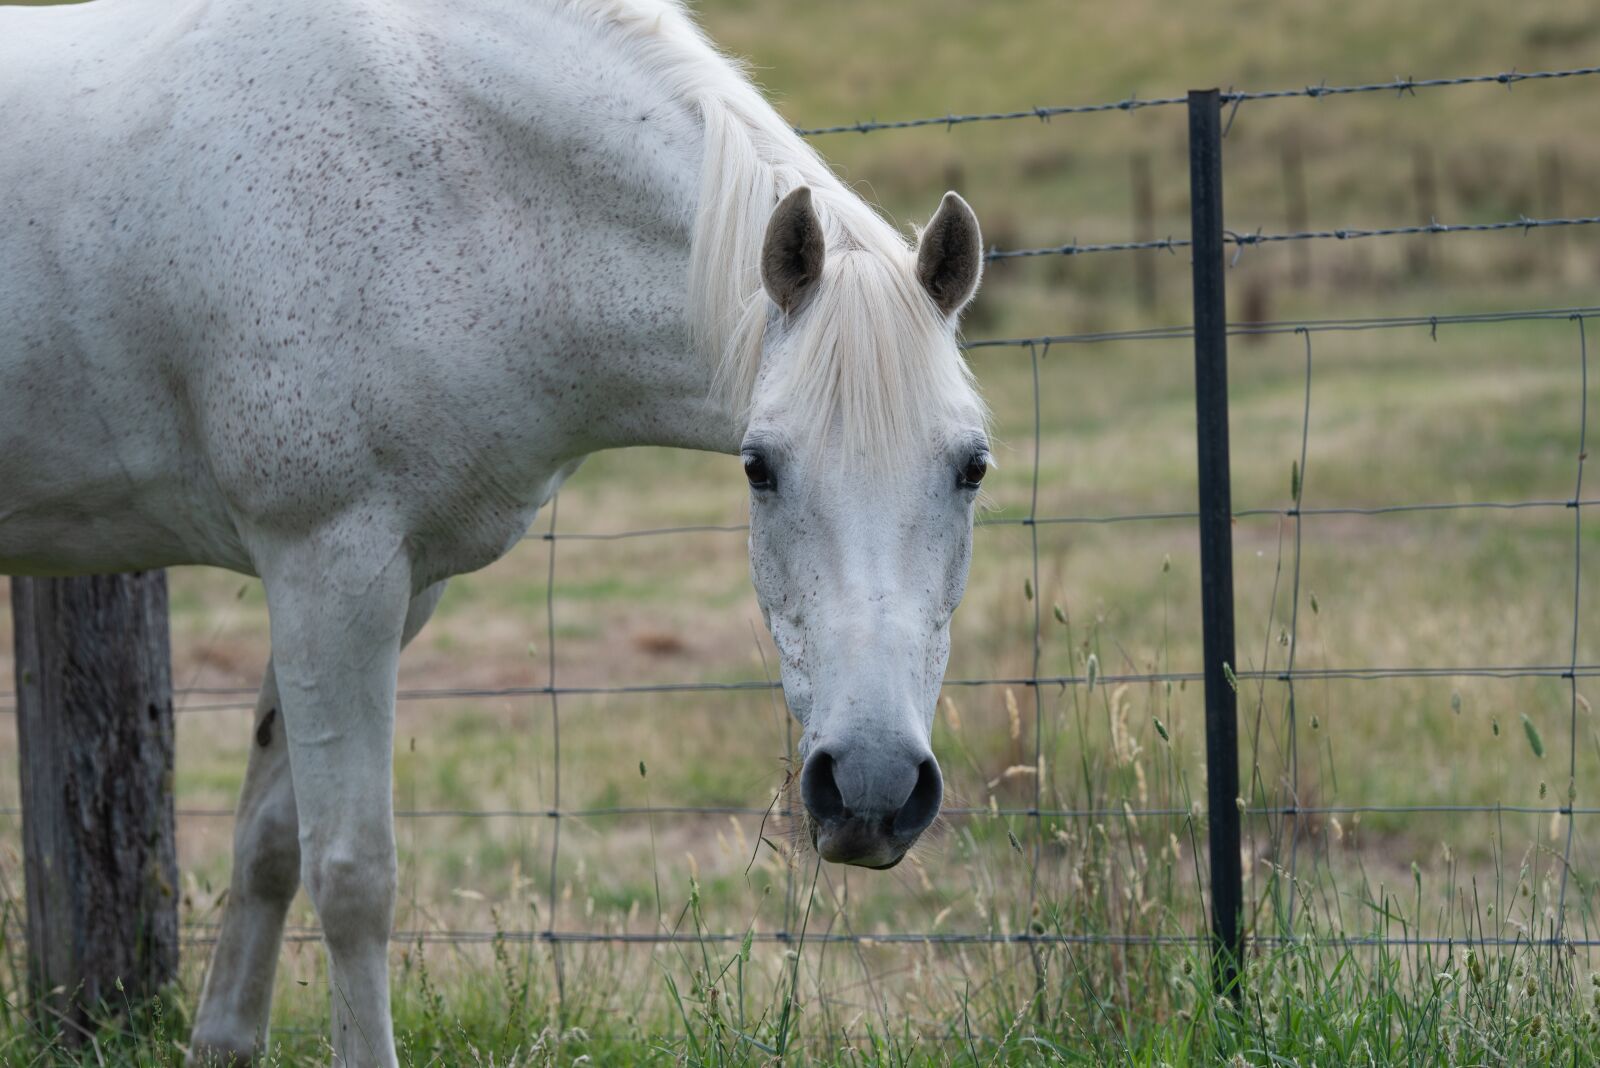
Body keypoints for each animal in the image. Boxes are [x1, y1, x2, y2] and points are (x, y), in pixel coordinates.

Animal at [0, 0, 989, 1063]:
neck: (456, 175)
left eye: (973, 467)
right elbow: (351, 875)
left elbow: (267, 845)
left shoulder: (391, 589)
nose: (872, 788)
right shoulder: (327, 568)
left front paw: (222, 1044)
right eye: (759, 467)